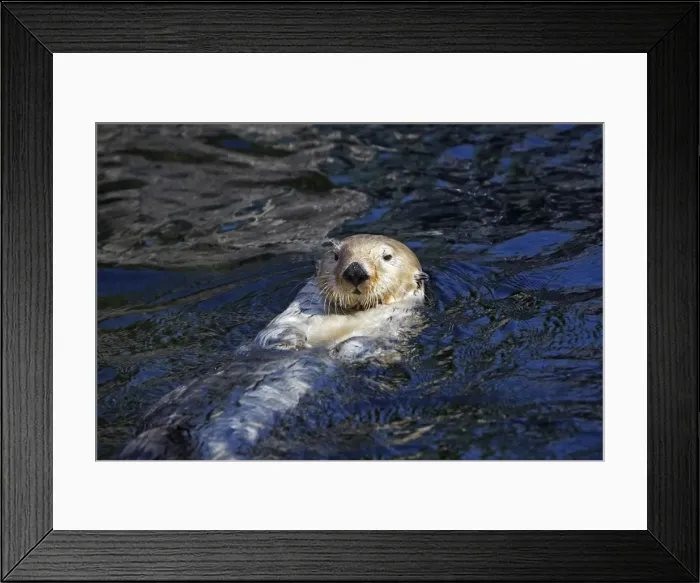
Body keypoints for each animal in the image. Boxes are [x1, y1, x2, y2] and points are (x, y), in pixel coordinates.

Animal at [120, 235, 428, 460]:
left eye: (387, 257)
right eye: (336, 256)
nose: (355, 271)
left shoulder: (393, 326)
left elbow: (366, 345)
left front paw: (340, 352)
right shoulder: (298, 309)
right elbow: (280, 330)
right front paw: (291, 344)